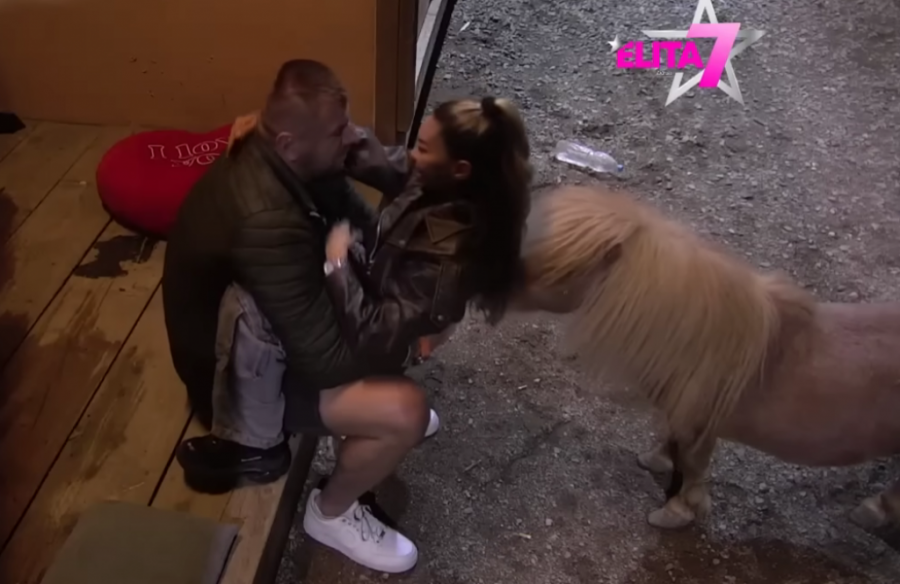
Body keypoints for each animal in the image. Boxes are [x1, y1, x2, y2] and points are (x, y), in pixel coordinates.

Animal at [514, 185, 900, 530]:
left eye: (561, 270)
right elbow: (672, 447)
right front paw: (656, 461)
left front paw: (677, 512)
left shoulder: (699, 427)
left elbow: (693, 468)